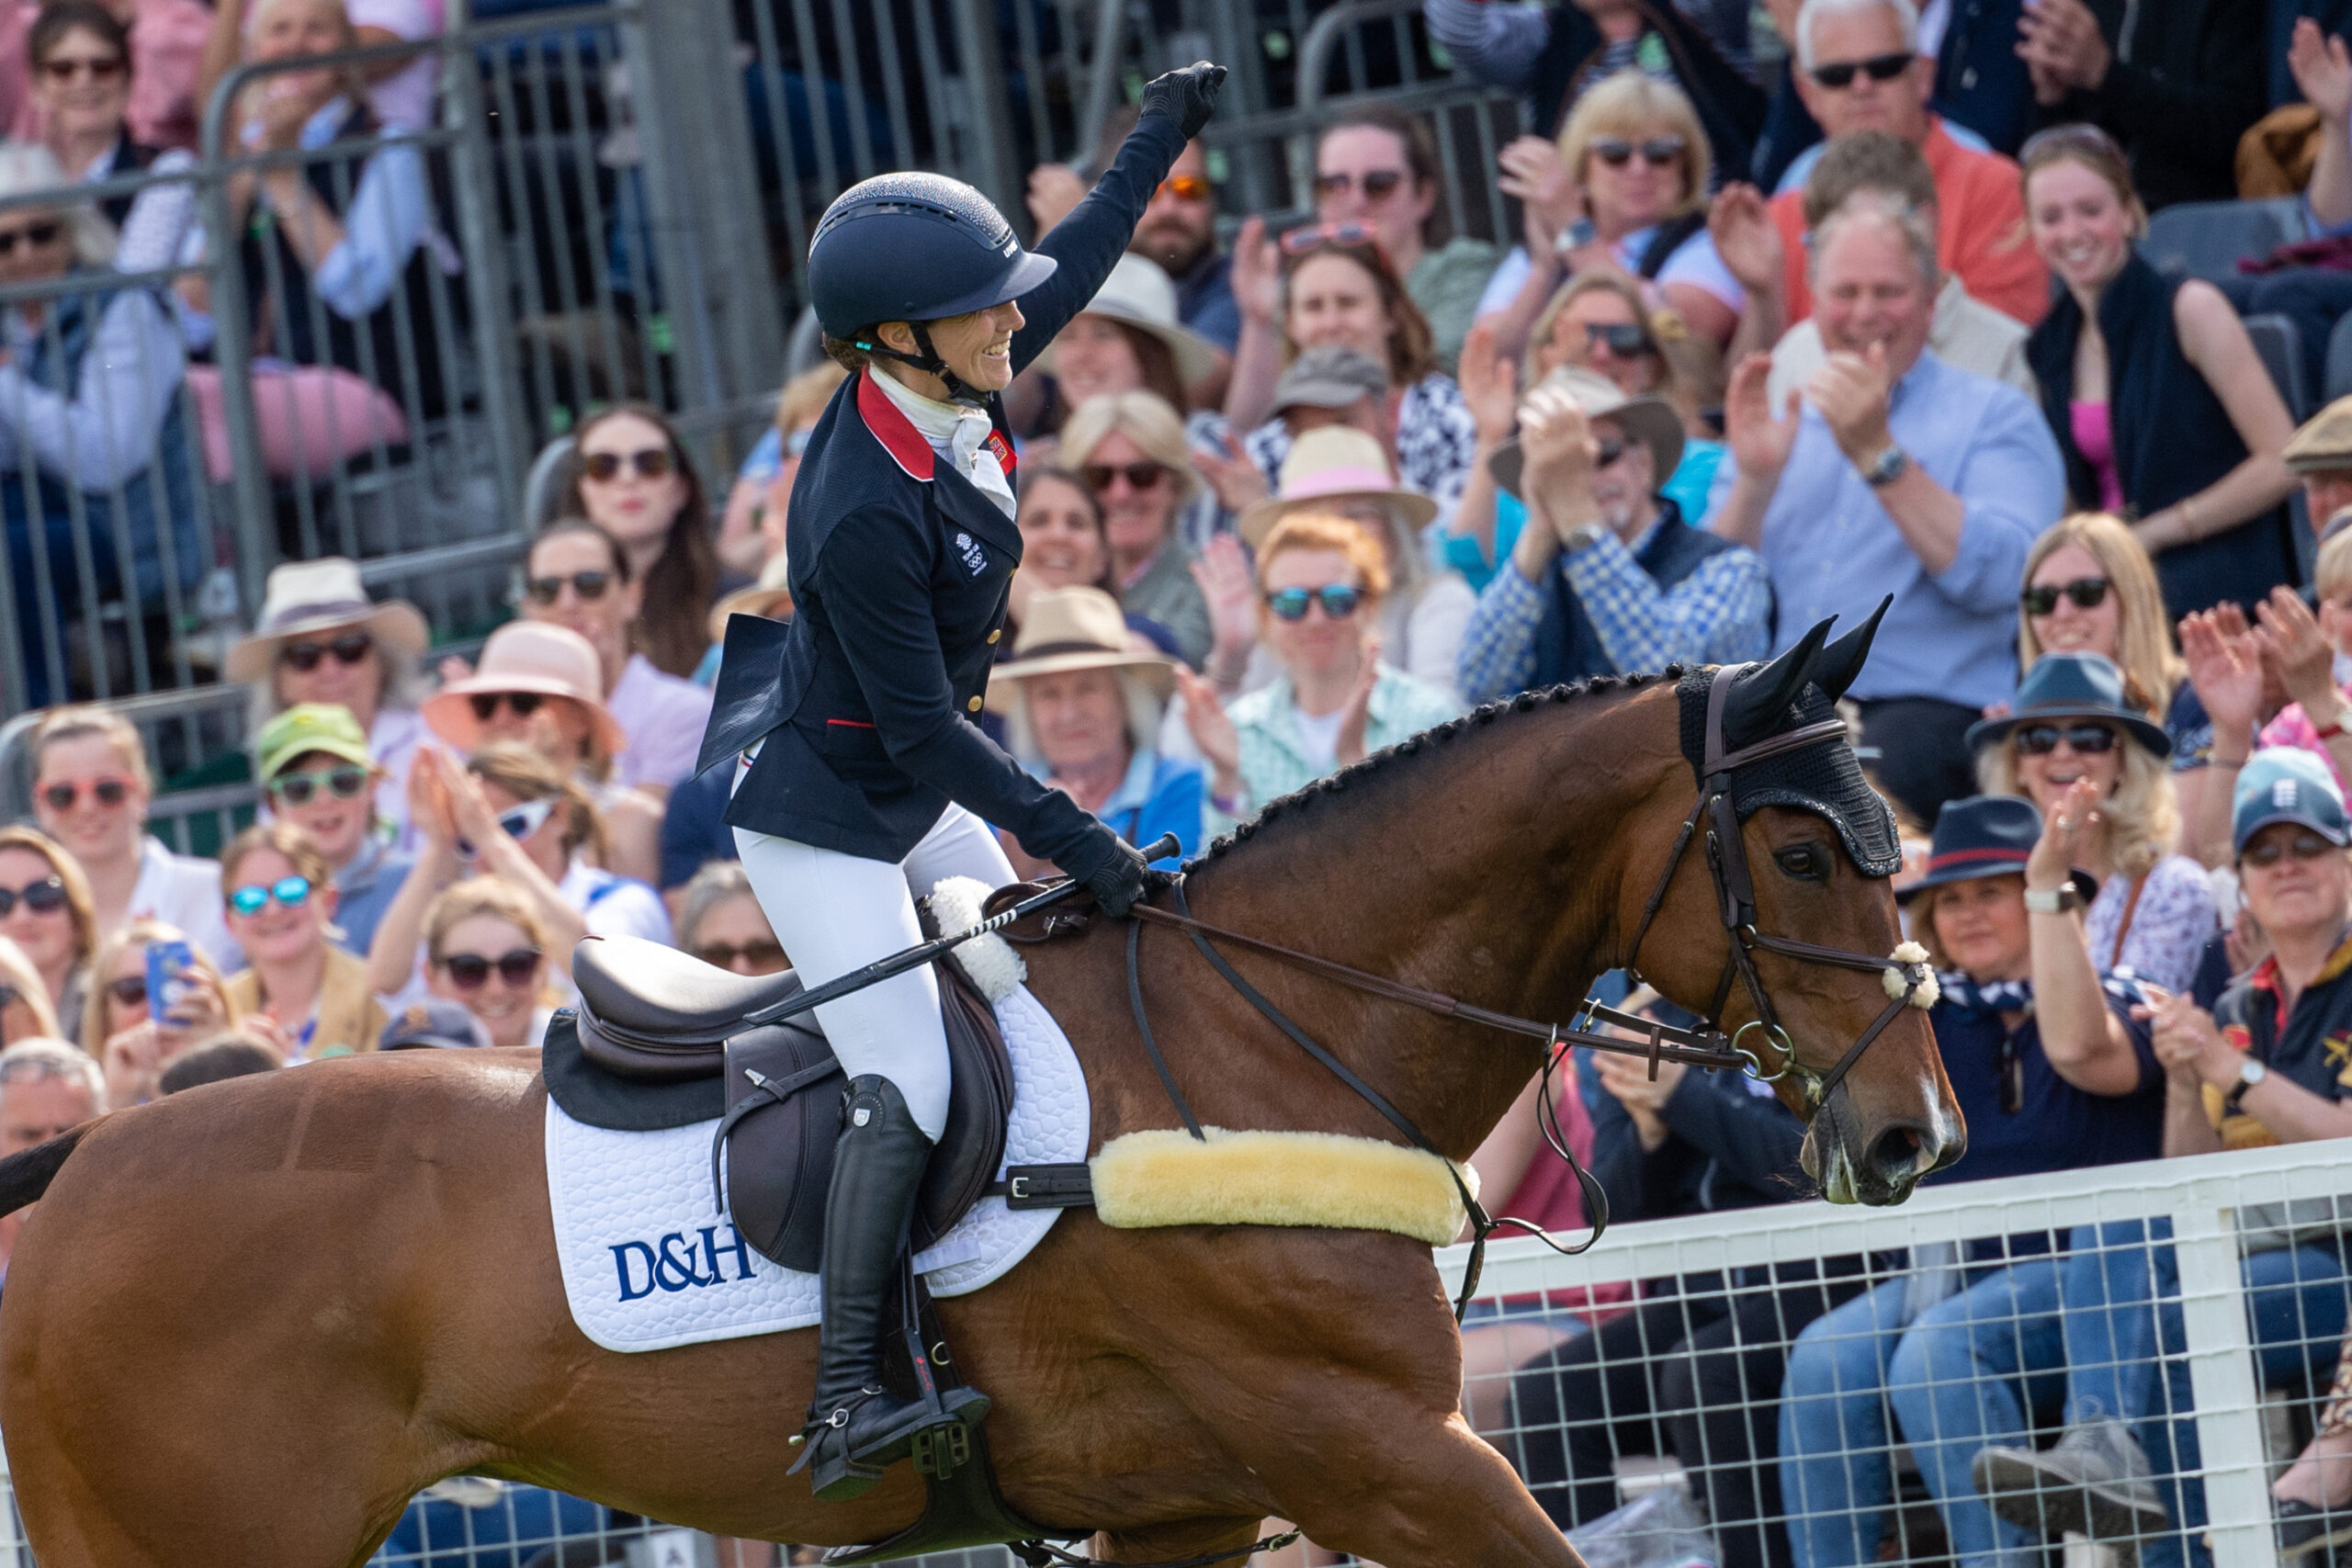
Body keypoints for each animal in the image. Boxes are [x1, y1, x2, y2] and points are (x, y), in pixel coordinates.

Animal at [0, 625, 1956, 1568]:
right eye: (1800, 847)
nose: (1915, 1132)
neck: (1258, 1035)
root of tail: (74, 1166)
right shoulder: (1386, 1456)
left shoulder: (1190, 1509)